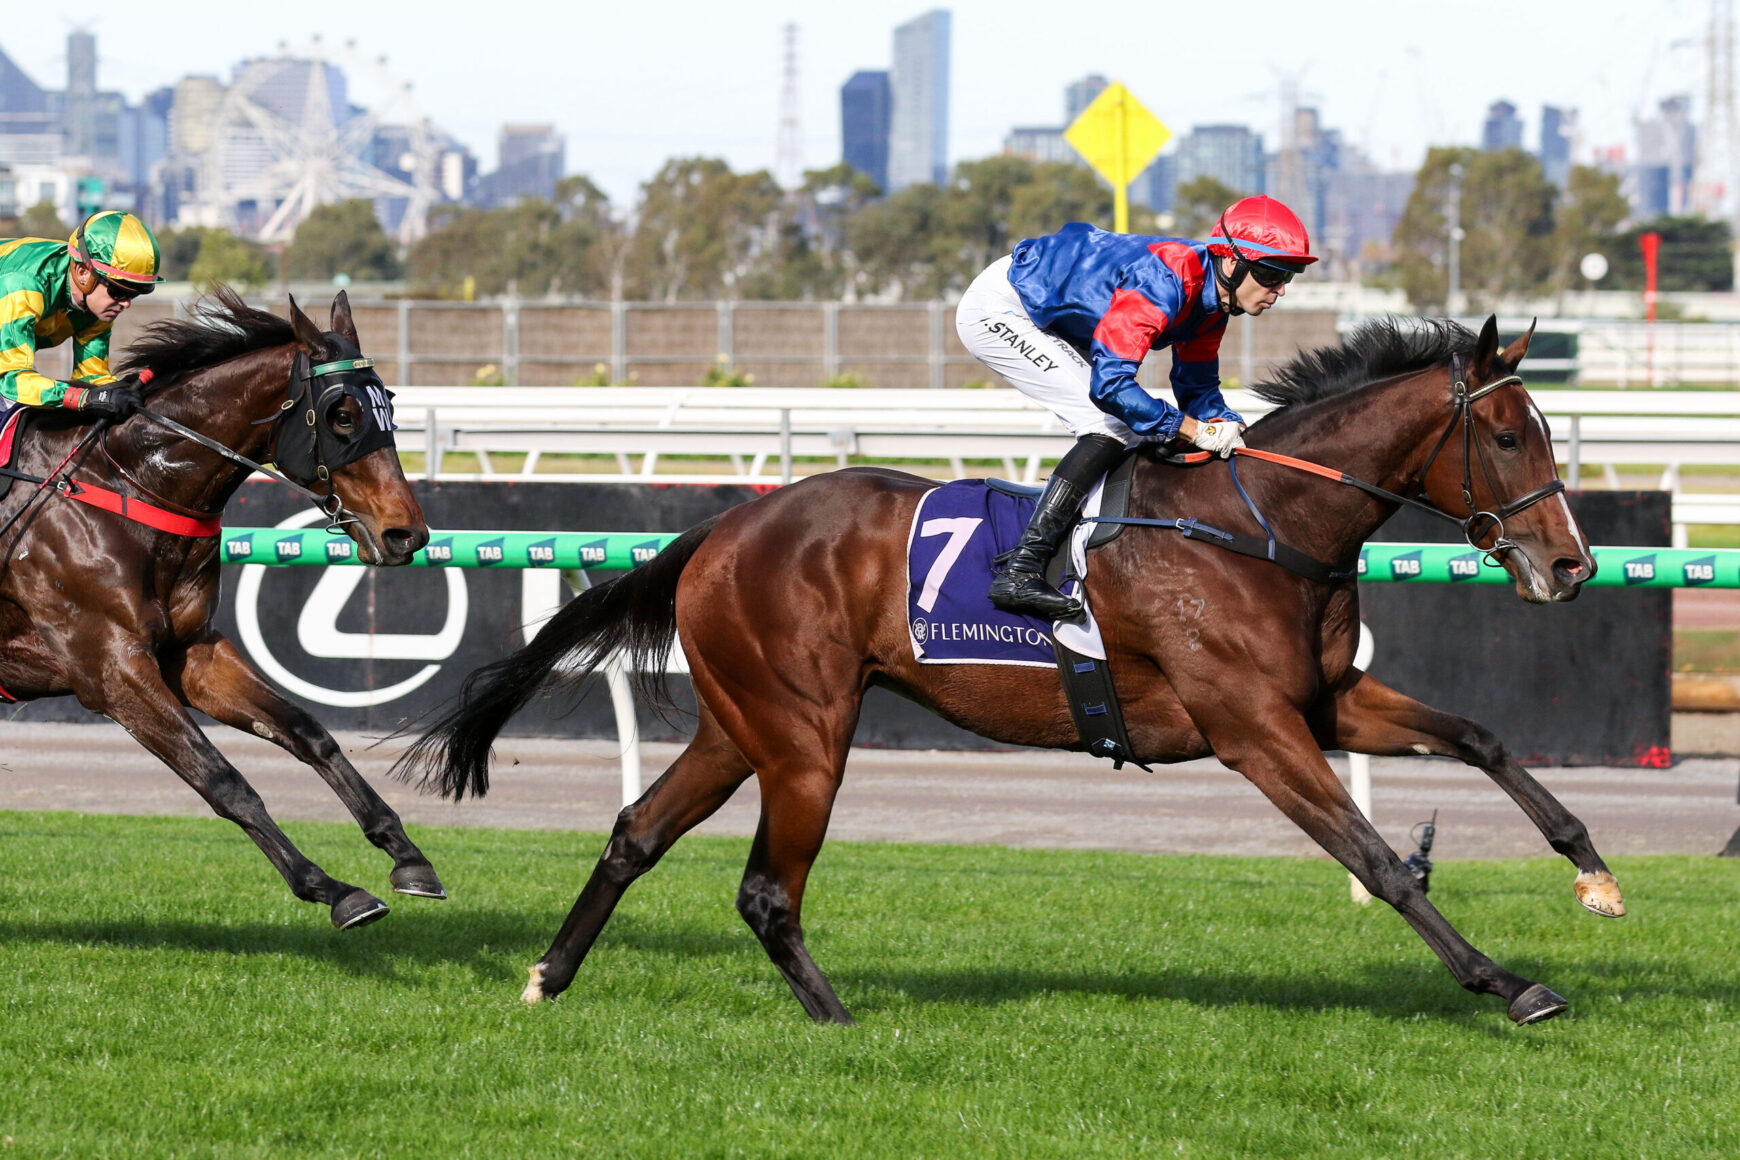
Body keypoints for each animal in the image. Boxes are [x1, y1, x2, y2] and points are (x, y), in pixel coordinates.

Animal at [0, 288, 444, 930]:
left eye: (388, 406)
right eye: (342, 415)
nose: (406, 533)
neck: (126, 484)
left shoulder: (191, 653)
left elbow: (308, 732)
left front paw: (407, 855)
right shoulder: (109, 669)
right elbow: (223, 780)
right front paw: (333, 888)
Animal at [400, 314, 1623, 1025]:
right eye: (1509, 438)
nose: (1572, 562)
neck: (1260, 523)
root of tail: (723, 527)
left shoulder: (1326, 701)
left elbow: (1481, 737)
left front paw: (1593, 871)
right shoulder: (1253, 727)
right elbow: (1378, 857)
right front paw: (1509, 984)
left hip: (741, 720)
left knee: (635, 833)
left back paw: (548, 976)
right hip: (804, 731)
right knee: (766, 889)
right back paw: (839, 1021)